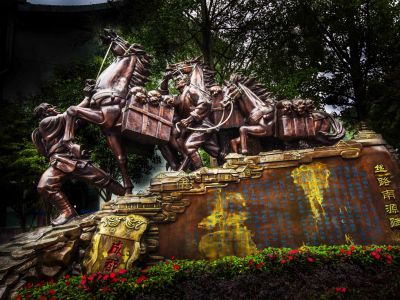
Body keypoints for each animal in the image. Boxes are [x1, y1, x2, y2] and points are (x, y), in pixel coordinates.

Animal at [63, 29, 151, 195]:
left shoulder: (104, 118)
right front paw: (128, 191)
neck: (113, 87)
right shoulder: (110, 132)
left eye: (123, 40)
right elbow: (121, 158)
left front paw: (70, 143)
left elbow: (72, 109)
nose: (108, 32)